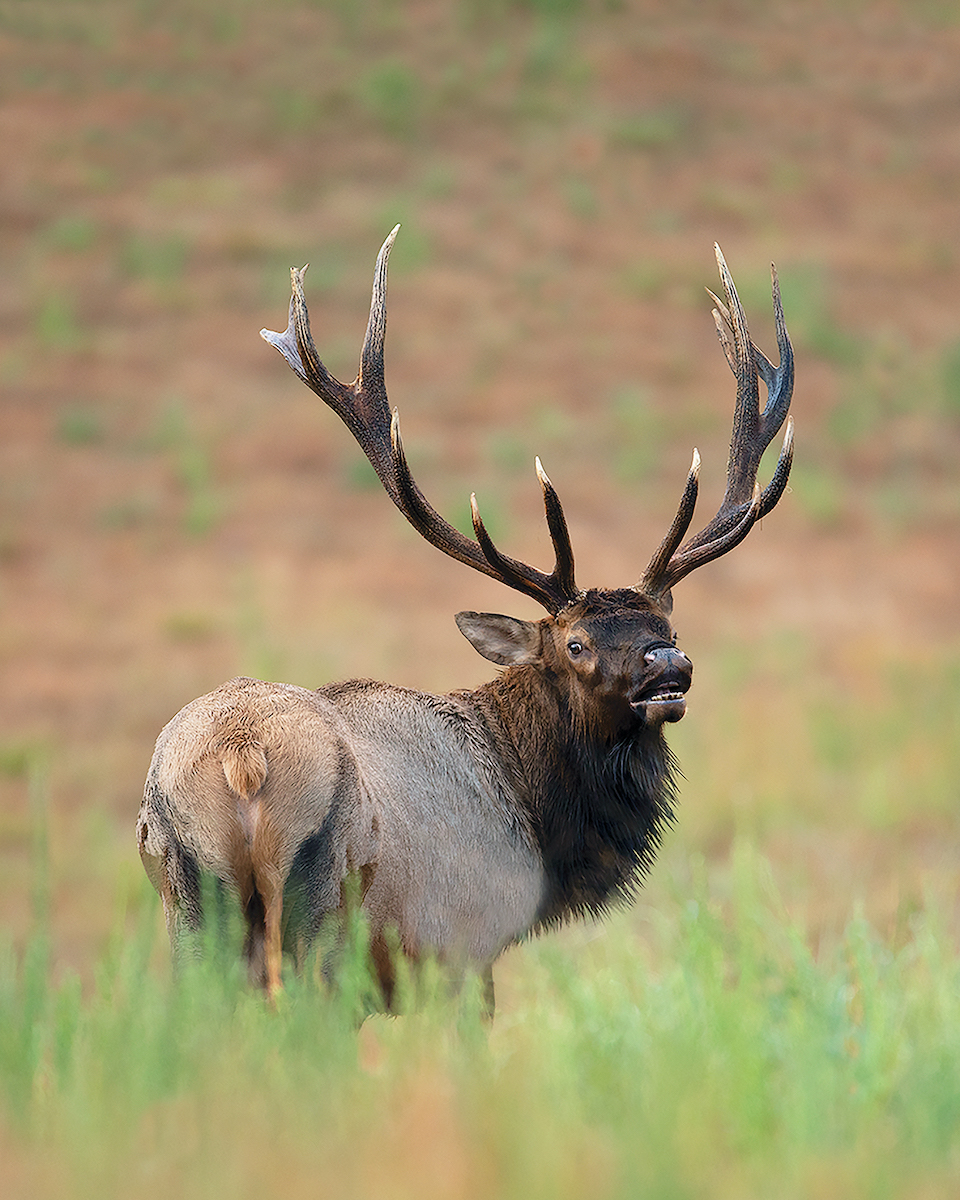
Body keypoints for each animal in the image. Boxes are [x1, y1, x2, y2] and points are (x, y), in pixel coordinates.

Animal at [137, 227, 794, 1010]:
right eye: (576, 643)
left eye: (669, 631)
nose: (669, 669)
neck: (538, 823)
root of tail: (243, 760)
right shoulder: (464, 945)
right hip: (323, 922)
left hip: (188, 907)